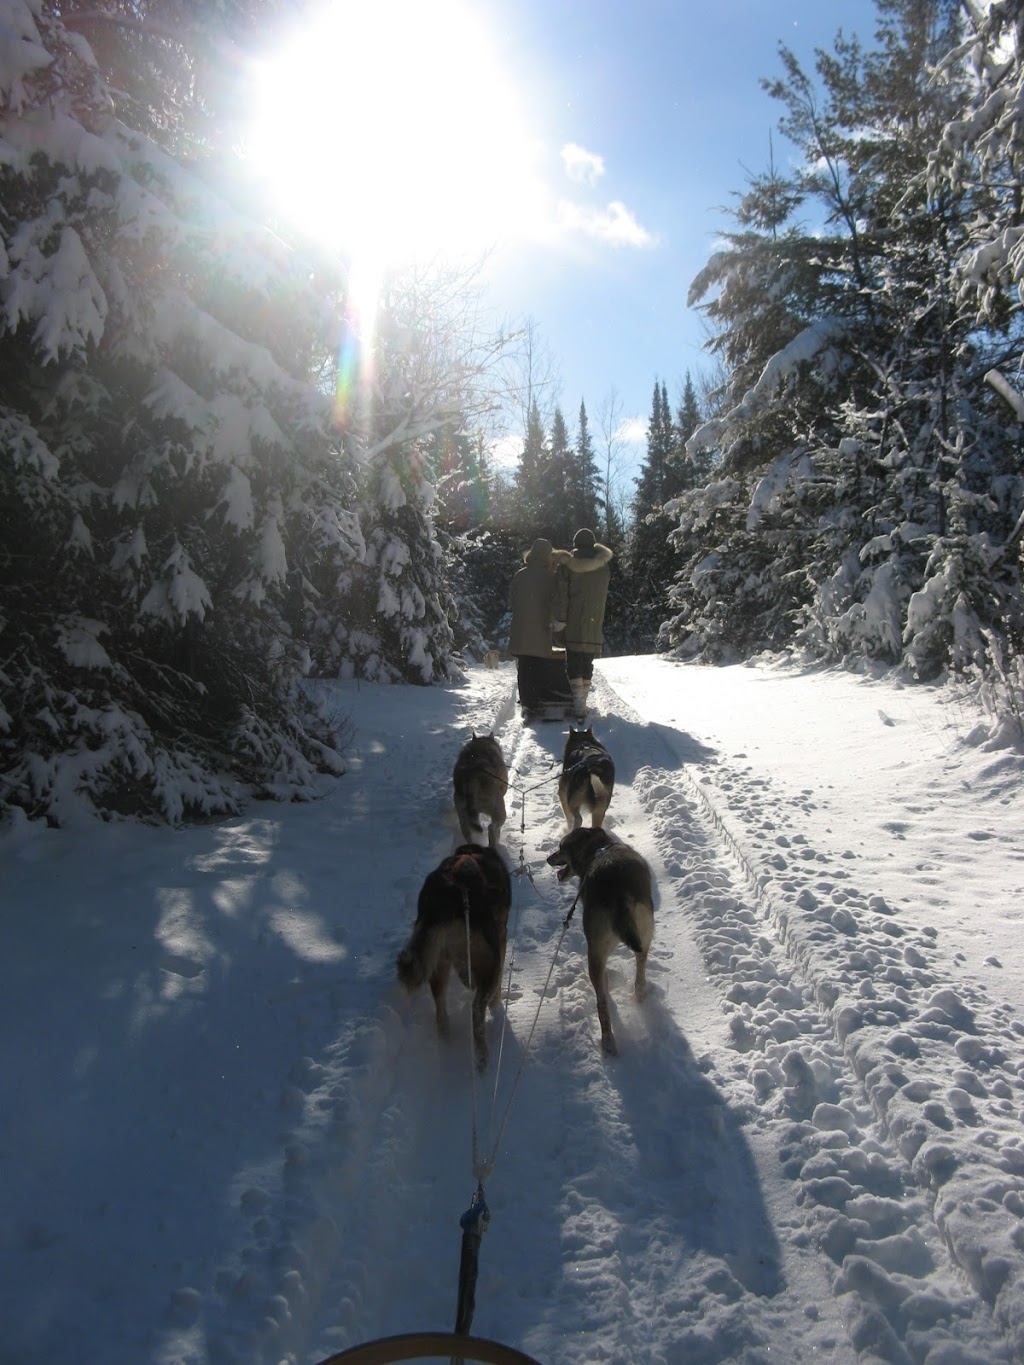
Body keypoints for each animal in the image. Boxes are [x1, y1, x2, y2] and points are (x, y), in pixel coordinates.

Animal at [398, 840, 513, 1064]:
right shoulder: (501, 936)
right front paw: (496, 1004)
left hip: (439, 961)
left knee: (441, 1010)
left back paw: (446, 1042)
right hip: (488, 961)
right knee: (477, 1010)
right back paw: (481, 1056)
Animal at [548, 819, 652, 1053]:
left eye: (561, 847)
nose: (548, 859)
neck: (598, 849)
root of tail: (617, 890)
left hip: (594, 951)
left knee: (601, 1001)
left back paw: (608, 1042)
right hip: (646, 933)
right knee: (641, 965)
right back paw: (640, 993)